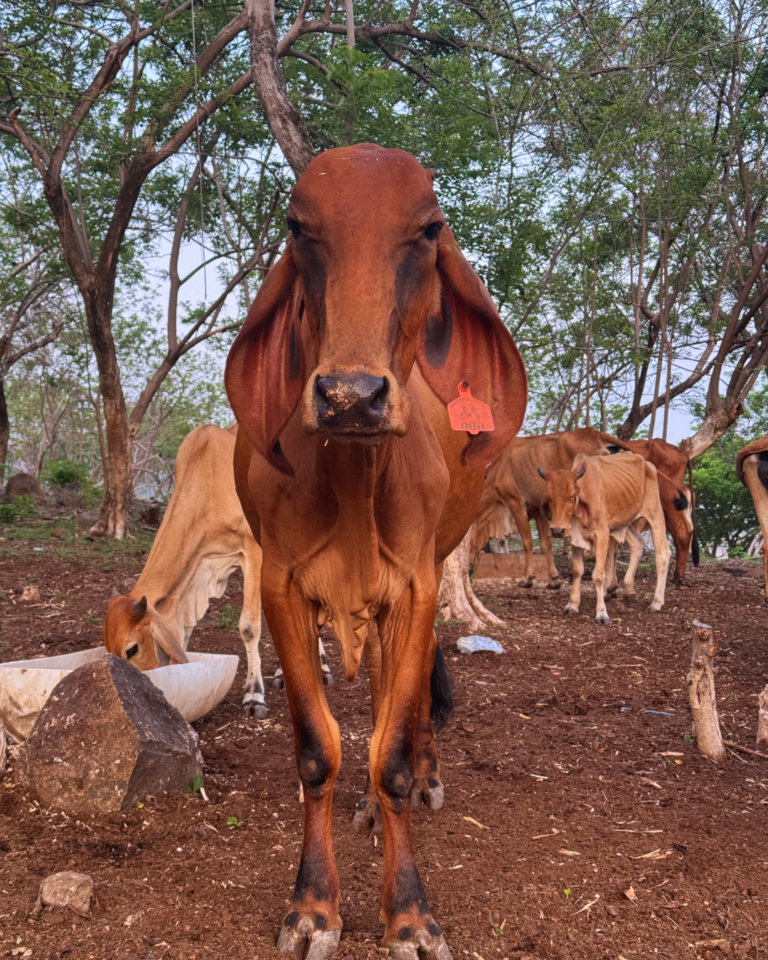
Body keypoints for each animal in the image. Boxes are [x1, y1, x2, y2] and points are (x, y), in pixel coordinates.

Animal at [225, 143, 527, 960]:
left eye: (429, 229)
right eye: (298, 226)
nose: (351, 397)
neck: (355, 475)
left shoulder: (416, 590)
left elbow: (387, 752)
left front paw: (410, 915)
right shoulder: (283, 588)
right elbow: (318, 748)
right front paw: (313, 906)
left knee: (409, 704)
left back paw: (423, 777)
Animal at [475, 427, 629, 589]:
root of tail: (597, 434)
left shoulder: (515, 502)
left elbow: (527, 541)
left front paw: (527, 578)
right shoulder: (538, 510)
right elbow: (545, 543)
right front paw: (554, 579)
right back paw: (612, 585)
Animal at [539, 452, 671, 624]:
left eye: (572, 496)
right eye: (549, 498)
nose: (557, 530)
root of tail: (647, 463)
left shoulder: (602, 534)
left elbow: (598, 575)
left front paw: (601, 613)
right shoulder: (576, 538)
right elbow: (577, 571)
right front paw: (572, 605)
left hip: (655, 513)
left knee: (663, 554)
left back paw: (657, 602)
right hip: (624, 521)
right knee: (638, 544)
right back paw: (629, 593)